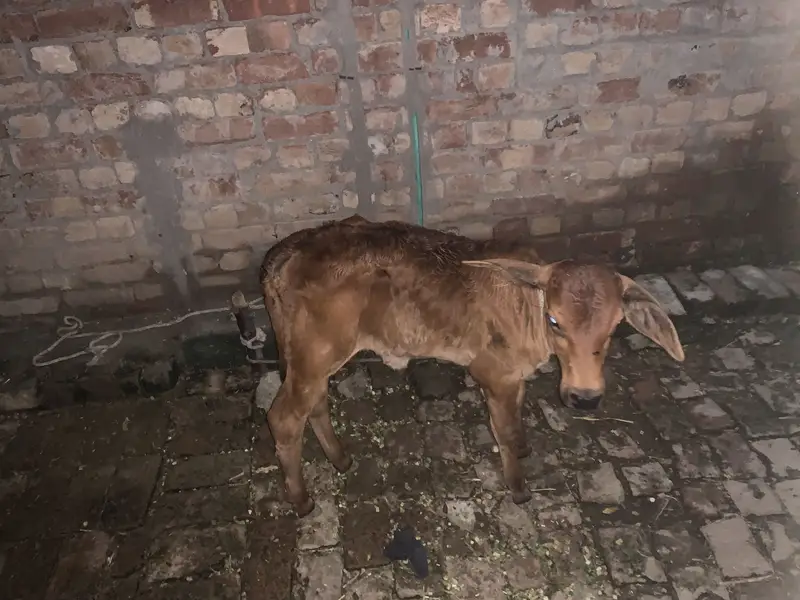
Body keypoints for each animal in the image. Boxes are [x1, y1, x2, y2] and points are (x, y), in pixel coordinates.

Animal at [260, 215, 685, 517]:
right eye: (555, 320)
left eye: (615, 326)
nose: (584, 397)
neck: (526, 309)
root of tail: (285, 252)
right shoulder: (493, 374)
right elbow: (506, 433)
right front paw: (519, 488)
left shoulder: (515, 376)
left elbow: (518, 415)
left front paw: (525, 448)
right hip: (316, 353)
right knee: (284, 417)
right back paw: (301, 499)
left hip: (307, 360)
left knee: (314, 404)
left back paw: (340, 459)